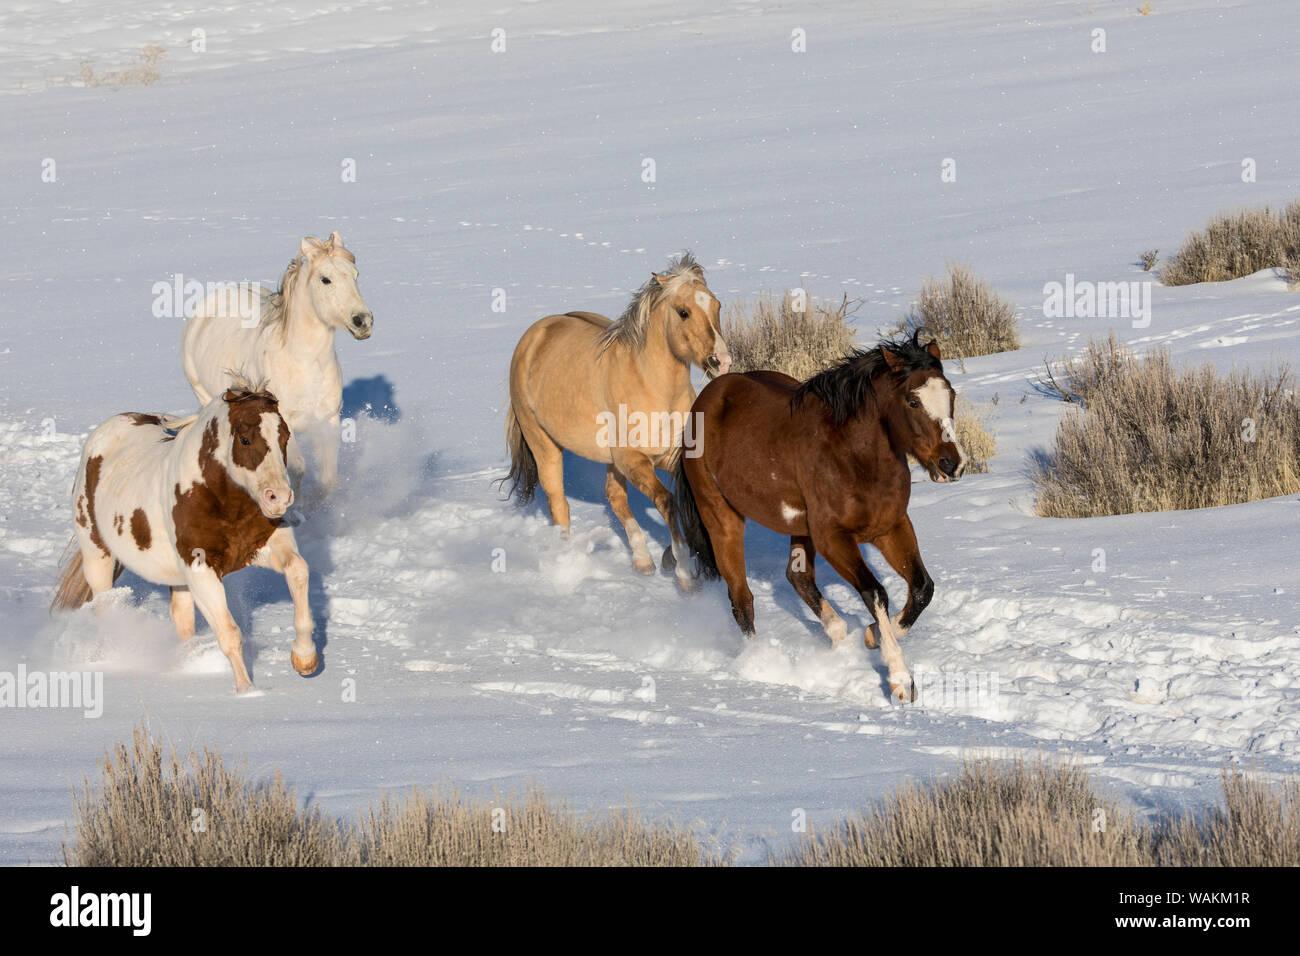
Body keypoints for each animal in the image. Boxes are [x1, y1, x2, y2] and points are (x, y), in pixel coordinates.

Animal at [51, 383, 318, 692]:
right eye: (245, 439)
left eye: (284, 436)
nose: (279, 498)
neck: (221, 499)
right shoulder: (200, 568)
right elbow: (229, 633)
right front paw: (247, 692)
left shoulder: (266, 546)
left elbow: (298, 571)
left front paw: (305, 659)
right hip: (98, 558)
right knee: (106, 608)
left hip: (176, 579)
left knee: (181, 620)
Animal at [180, 231, 373, 504]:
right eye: (325, 279)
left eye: (356, 274)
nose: (363, 321)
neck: (304, 363)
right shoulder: (283, 423)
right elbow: (297, 468)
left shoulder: (328, 421)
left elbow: (328, 479)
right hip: (203, 396)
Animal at [502, 252, 732, 590]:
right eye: (683, 312)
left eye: (717, 306)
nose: (722, 361)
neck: (652, 386)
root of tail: (535, 334)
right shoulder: (633, 460)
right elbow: (667, 502)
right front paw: (683, 573)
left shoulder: (672, 457)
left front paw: (672, 557)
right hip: (544, 444)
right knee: (559, 503)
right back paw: (567, 563)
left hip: (610, 460)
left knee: (614, 497)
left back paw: (643, 561)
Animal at [673, 331, 967, 702]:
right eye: (913, 401)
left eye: (951, 394)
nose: (952, 464)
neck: (854, 455)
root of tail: (706, 400)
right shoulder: (833, 537)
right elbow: (875, 592)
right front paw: (900, 679)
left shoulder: (891, 527)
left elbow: (922, 588)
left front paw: (872, 635)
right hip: (722, 516)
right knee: (741, 598)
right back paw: (761, 663)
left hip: (800, 528)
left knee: (798, 578)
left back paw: (837, 638)